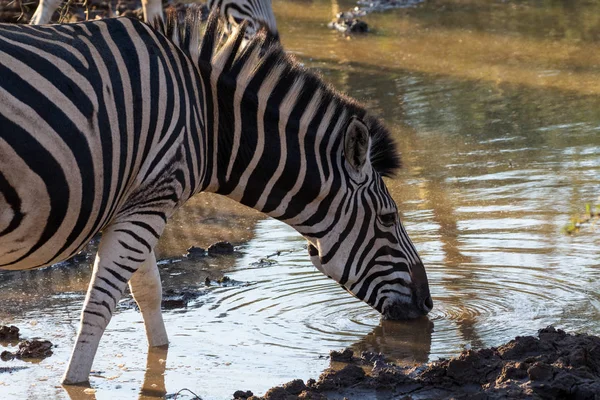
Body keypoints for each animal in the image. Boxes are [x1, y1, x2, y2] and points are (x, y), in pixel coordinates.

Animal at [0, 8, 432, 384]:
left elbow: (147, 292)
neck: (208, 121)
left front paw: (161, 357)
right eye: (388, 218)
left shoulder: (137, 201)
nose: (428, 304)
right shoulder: (151, 200)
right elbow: (100, 305)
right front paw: (74, 382)